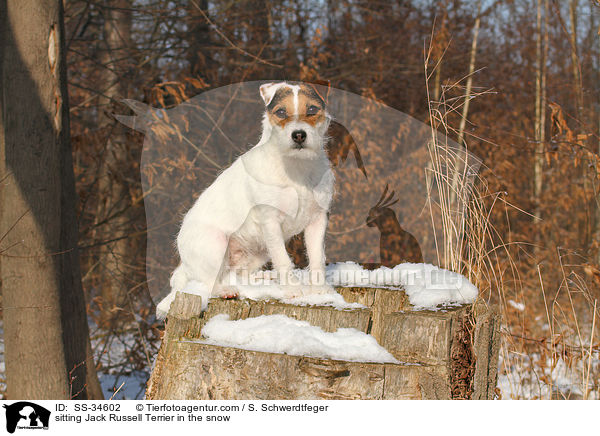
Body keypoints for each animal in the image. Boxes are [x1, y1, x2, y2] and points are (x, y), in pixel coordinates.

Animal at [157, 82, 336, 318]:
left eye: (313, 109)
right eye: (281, 112)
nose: (299, 135)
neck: (296, 167)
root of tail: (184, 266)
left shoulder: (318, 219)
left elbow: (317, 257)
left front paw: (320, 290)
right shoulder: (270, 221)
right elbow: (283, 259)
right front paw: (293, 291)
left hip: (259, 251)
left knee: (237, 274)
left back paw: (264, 277)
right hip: (216, 243)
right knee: (212, 282)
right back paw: (226, 291)